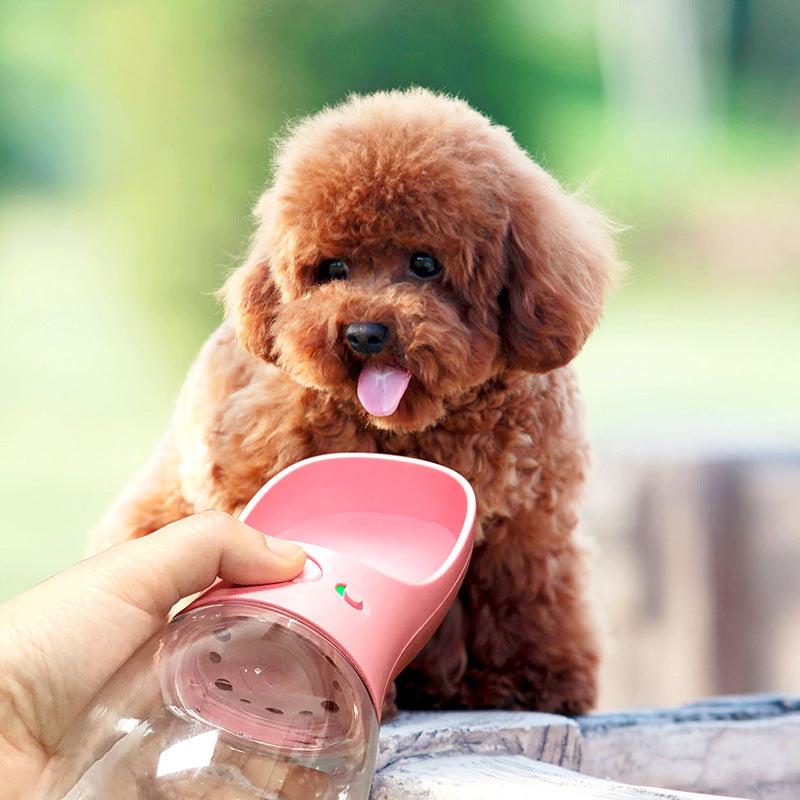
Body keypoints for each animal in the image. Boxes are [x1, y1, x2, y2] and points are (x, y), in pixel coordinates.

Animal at [92, 89, 620, 720]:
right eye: (333, 268)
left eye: (425, 263)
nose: (364, 333)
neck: (414, 430)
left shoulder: (530, 519)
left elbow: (529, 598)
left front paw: (535, 682)